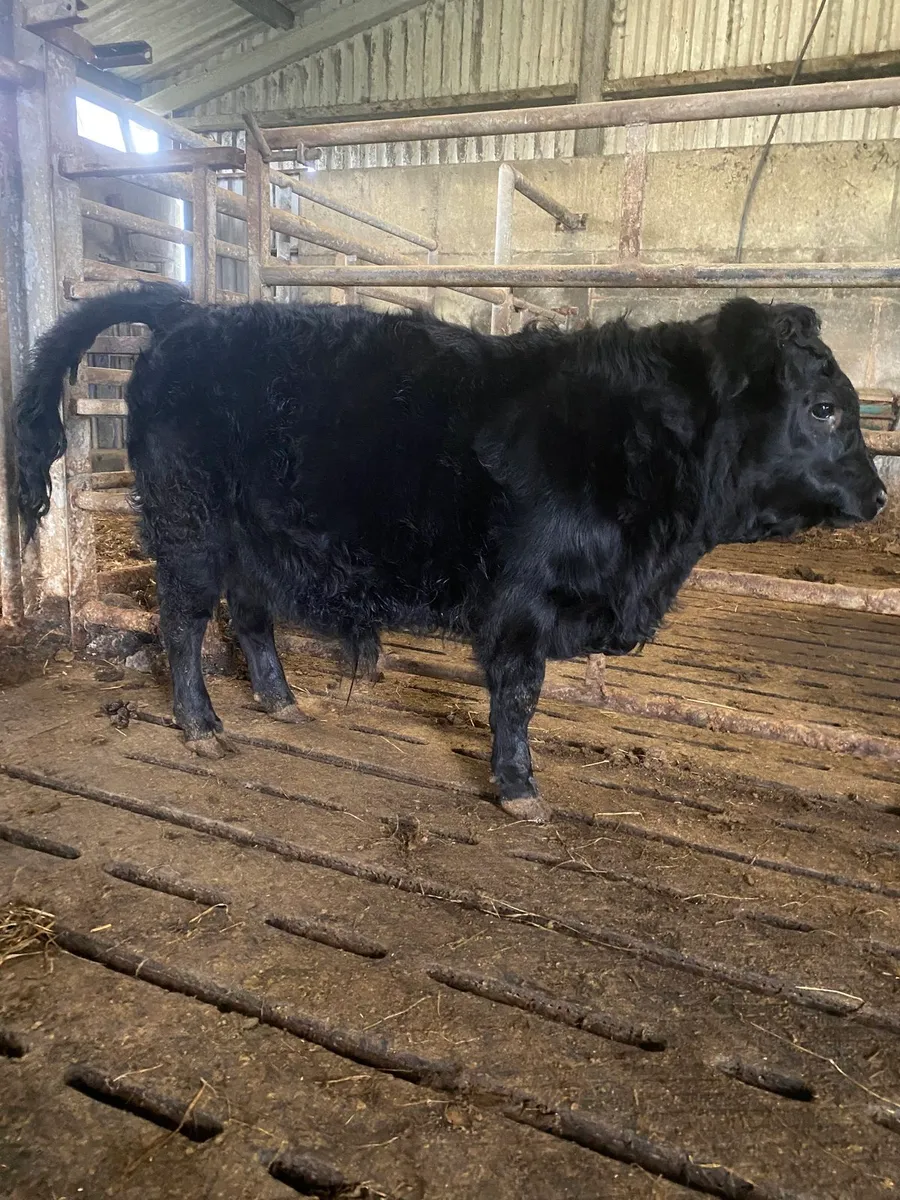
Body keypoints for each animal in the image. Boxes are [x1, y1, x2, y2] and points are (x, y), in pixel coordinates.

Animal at [16, 283, 885, 822]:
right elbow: (518, 695)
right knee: (184, 622)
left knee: (251, 611)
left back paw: (281, 700)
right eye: (823, 407)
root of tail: (192, 315)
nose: (878, 496)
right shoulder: (523, 602)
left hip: (253, 533)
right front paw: (519, 788)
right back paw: (201, 724)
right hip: (189, 528)